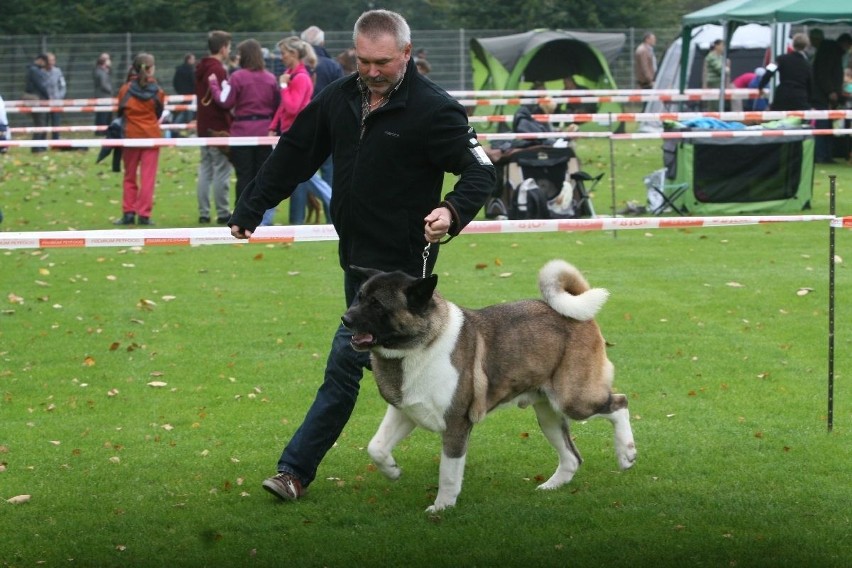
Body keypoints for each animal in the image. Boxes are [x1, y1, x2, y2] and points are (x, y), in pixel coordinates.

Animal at [342, 260, 636, 512]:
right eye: (359, 297)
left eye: (377, 304)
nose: (345, 319)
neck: (419, 346)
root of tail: (575, 314)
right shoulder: (405, 412)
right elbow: (377, 447)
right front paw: (392, 470)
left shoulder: (456, 424)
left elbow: (448, 473)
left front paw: (442, 507)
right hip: (548, 414)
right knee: (573, 457)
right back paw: (551, 486)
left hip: (574, 399)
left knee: (619, 403)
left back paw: (627, 453)